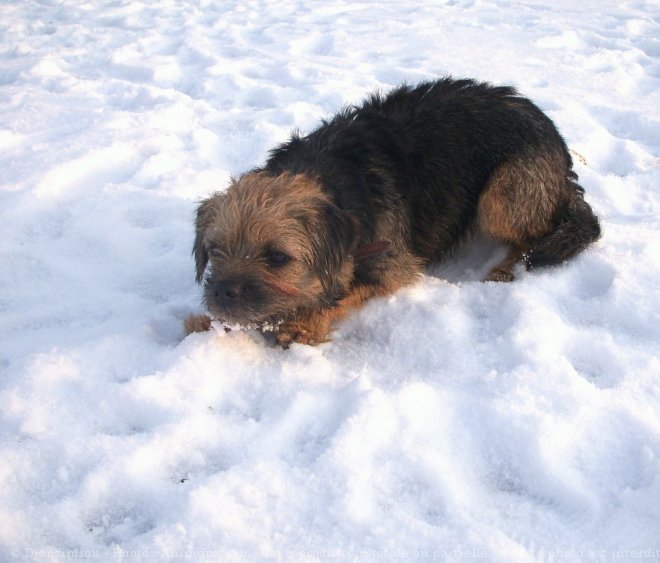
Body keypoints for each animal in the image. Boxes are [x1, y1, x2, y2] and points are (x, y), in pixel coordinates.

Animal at [183, 77, 600, 346]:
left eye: (278, 257)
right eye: (215, 250)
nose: (223, 294)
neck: (327, 179)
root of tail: (562, 158)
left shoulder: (393, 262)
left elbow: (353, 289)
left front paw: (305, 324)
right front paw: (203, 322)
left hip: (503, 192)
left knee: (532, 236)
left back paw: (503, 268)